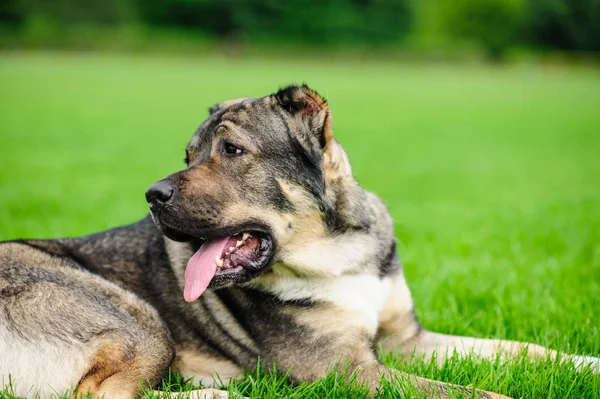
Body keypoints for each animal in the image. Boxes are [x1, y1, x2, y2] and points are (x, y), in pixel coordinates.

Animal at [1, 83, 600, 396]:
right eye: (189, 155)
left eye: (231, 151)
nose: (152, 195)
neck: (336, 252)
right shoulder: (350, 370)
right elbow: (470, 391)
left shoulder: (406, 339)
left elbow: (519, 349)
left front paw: (584, 363)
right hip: (134, 317)